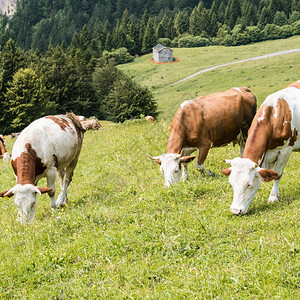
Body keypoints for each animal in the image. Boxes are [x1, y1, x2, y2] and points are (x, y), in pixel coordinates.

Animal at [221, 81, 300, 214]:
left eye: (249, 184)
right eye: (232, 183)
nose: (235, 211)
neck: (273, 116)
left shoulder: (286, 150)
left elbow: (278, 174)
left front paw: (273, 197)